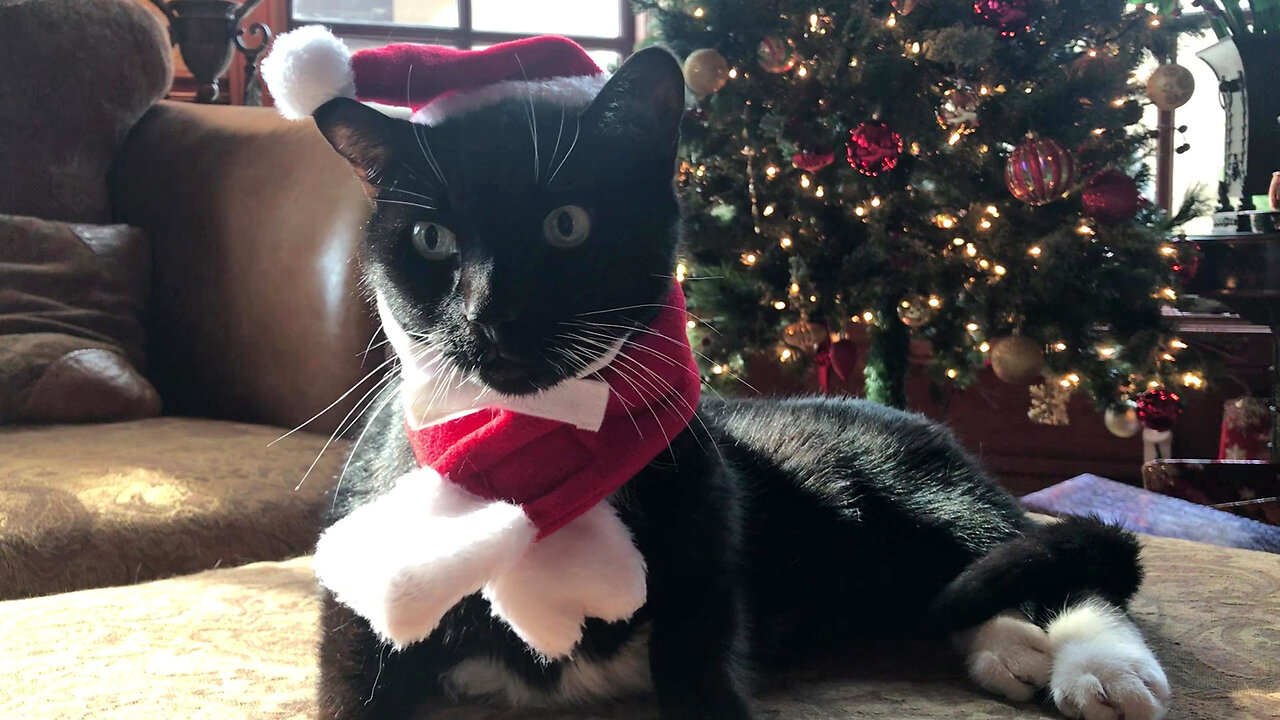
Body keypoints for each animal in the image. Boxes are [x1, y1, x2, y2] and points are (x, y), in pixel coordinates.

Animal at [296, 43, 1172, 717]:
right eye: (431, 239)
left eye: (567, 225)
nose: (488, 312)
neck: (540, 440)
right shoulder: (357, 608)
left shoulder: (709, 579)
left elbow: (705, 678)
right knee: (951, 591)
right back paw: (1008, 645)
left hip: (924, 486)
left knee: (1033, 553)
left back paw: (1103, 667)